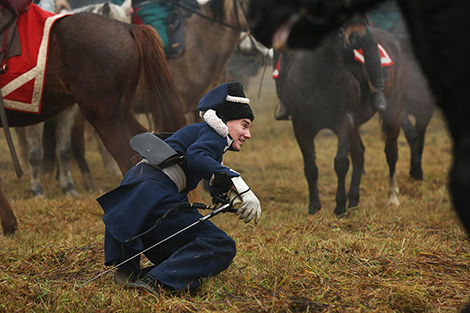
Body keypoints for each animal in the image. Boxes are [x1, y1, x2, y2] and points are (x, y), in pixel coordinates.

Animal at [280, 25, 406, 214]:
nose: (355, 37)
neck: (320, 71)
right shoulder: (301, 126)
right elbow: (310, 167)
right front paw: (314, 206)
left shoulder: (345, 121)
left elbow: (341, 162)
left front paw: (340, 206)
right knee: (359, 154)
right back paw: (353, 200)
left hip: (392, 114)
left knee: (391, 153)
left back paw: (392, 197)